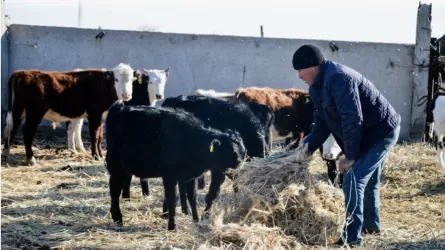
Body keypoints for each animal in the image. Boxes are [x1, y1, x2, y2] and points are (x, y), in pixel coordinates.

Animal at [1, 63, 138, 166]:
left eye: (132, 80)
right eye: (116, 79)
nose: (126, 95)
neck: (103, 85)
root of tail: (22, 73)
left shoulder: (100, 117)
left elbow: (99, 136)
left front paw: (100, 155)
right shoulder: (94, 114)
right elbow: (94, 136)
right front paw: (96, 156)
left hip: (19, 109)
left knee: (12, 129)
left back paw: (6, 153)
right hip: (35, 112)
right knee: (27, 132)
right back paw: (30, 159)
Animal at [106, 99, 248, 230]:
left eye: (243, 153)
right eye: (232, 154)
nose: (240, 174)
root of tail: (119, 108)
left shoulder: (190, 177)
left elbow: (192, 197)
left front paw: (196, 220)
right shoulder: (169, 176)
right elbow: (172, 199)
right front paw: (172, 226)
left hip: (124, 168)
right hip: (116, 166)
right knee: (114, 191)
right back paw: (118, 219)